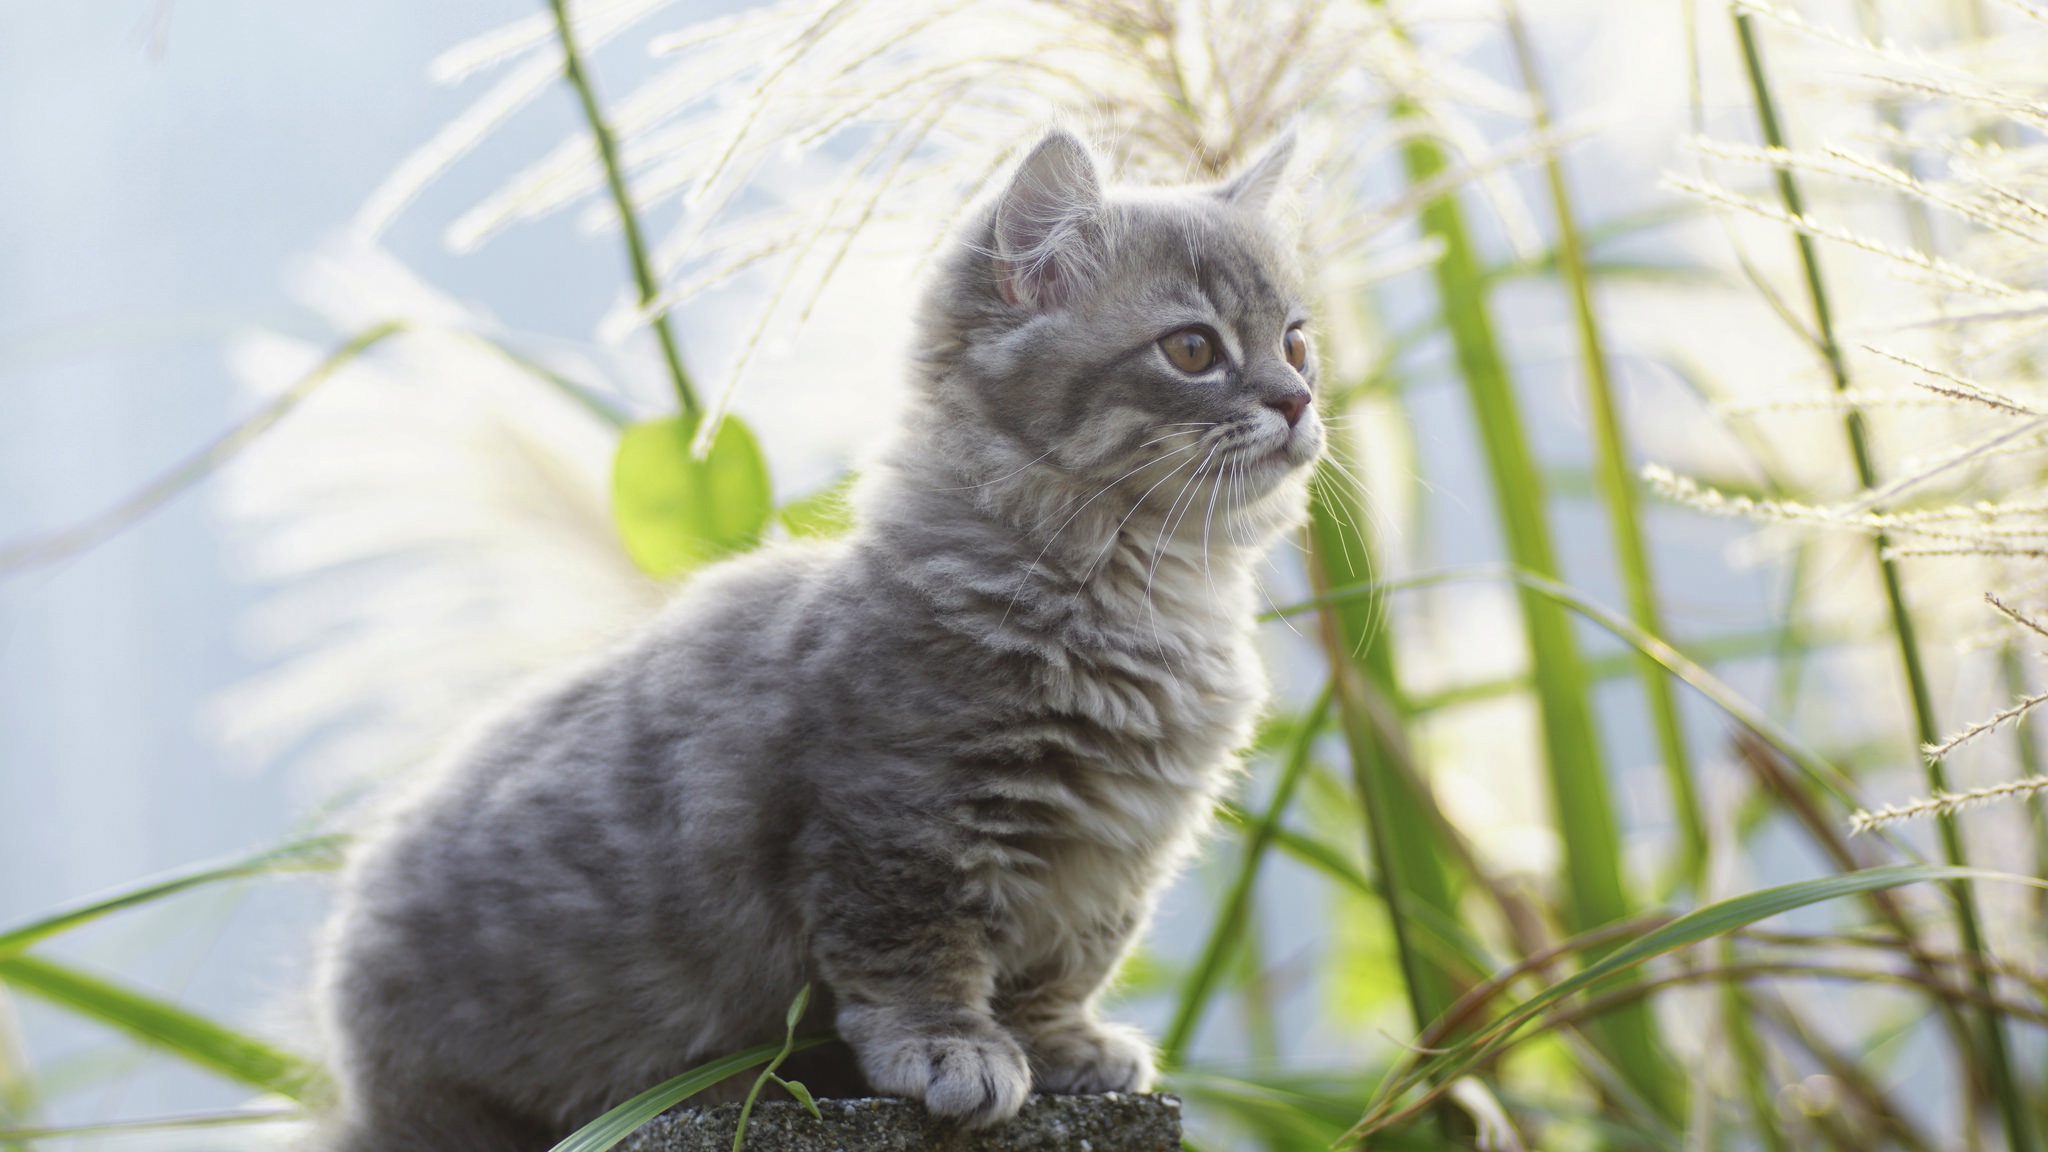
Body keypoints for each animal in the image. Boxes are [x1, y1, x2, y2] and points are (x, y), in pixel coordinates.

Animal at [311, 127, 1318, 1147]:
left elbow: (1062, 968)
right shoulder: (896, 821)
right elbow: (916, 958)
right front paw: (953, 1048)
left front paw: (1062, 1043)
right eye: (1192, 349)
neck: (1139, 599)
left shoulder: (1114, 859)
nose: (1297, 400)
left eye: (1296, 340)